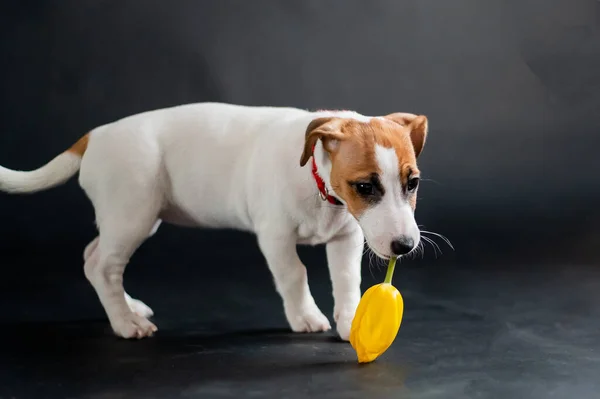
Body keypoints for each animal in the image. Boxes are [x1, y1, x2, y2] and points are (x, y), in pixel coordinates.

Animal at [2, 102, 428, 340]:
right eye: (364, 186)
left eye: (412, 183)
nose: (404, 246)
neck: (319, 184)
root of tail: (94, 136)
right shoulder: (275, 237)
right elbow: (294, 275)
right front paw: (306, 317)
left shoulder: (346, 238)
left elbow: (346, 281)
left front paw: (349, 321)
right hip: (132, 215)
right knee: (102, 265)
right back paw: (125, 323)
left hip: (126, 219)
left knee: (95, 255)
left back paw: (129, 307)